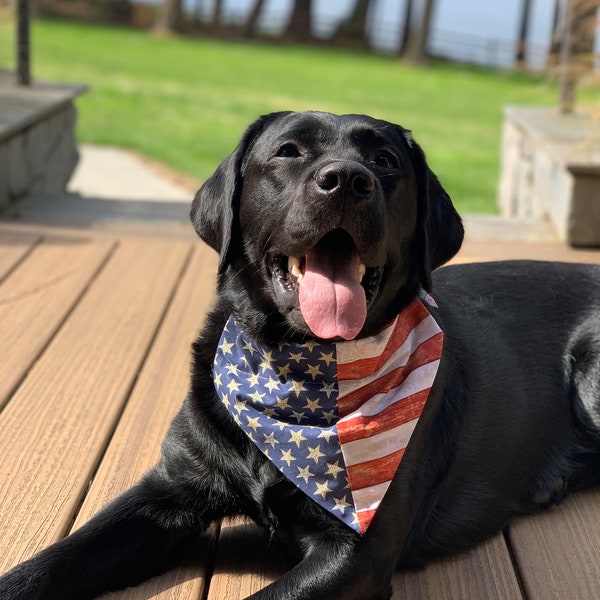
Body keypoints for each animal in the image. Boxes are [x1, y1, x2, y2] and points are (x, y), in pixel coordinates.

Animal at [1, 110, 600, 596]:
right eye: (289, 151)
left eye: (384, 161)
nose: (347, 181)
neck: (298, 367)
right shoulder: (168, 492)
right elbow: (53, 561)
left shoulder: (355, 551)